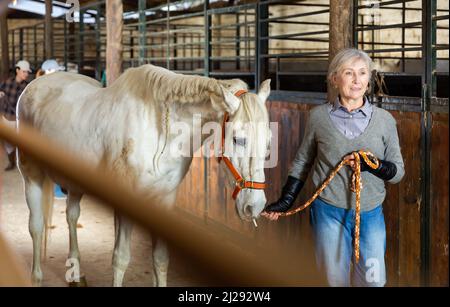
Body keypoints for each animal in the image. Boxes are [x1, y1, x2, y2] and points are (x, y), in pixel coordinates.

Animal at [16, 63, 270, 288]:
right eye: (238, 139)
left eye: (269, 142)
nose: (254, 206)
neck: (159, 130)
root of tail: (35, 85)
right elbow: (120, 258)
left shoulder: (163, 202)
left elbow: (160, 259)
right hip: (32, 176)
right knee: (36, 227)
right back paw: (36, 278)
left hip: (75, 183)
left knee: (71, 216)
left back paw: (76, 275)